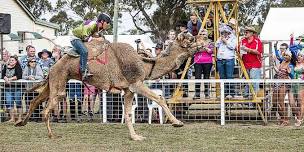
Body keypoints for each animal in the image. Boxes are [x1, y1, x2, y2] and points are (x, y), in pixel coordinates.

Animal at [16, 32, 202, 140]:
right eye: (190, 39)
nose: (204, 40)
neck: (144, 63)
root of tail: (52, 66)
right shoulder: (136, 83)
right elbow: (160, 99)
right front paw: (177, 122)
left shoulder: (128, 90)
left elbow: (127, 113)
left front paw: (135, 137)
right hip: (60, 84)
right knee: (46, 109)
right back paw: (52, 134)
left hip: (54, 82)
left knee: (35, 101)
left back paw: (21, 123)